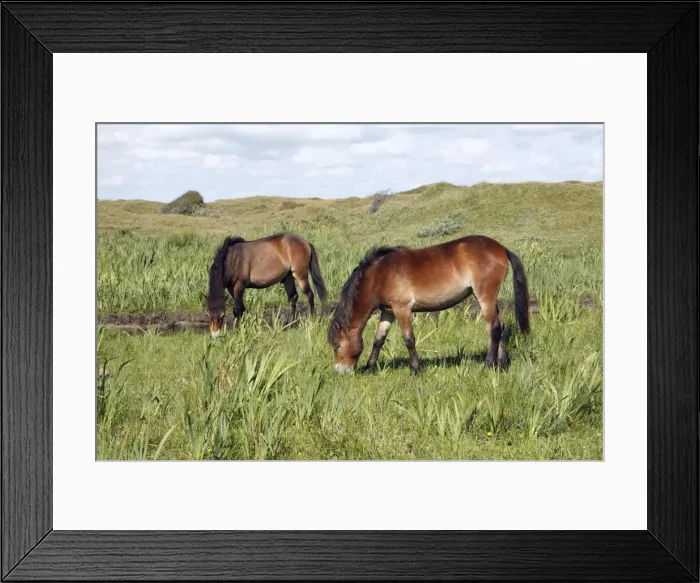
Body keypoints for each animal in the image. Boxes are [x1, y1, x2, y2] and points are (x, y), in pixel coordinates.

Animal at [327, 235, 530, 376]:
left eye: (336, 346)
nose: (340, 372)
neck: (379, 274)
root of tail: (501, 248)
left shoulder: (402, 309)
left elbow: (409, 339)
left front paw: (414, 370)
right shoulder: (388, 312)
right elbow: (378, 340)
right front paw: (369, 368)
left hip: (485, 297)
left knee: (493, 327)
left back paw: (489, 364)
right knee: (500, 326)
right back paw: (501, 365)